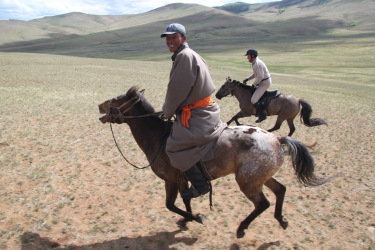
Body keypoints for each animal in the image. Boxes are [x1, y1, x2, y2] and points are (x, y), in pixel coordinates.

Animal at [97, 86, 334, 238]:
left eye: (116, 100)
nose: (100, 106)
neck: (158, 137)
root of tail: (277, 138)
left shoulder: (171, 179)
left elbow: (171, 204)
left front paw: (196, 218)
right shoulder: (182, 180)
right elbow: (185, 200)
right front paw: (188, 218)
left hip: (247, 181)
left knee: (262, 203)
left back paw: (242, 228)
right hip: (261, 177)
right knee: (280, 190)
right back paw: (281, 219)